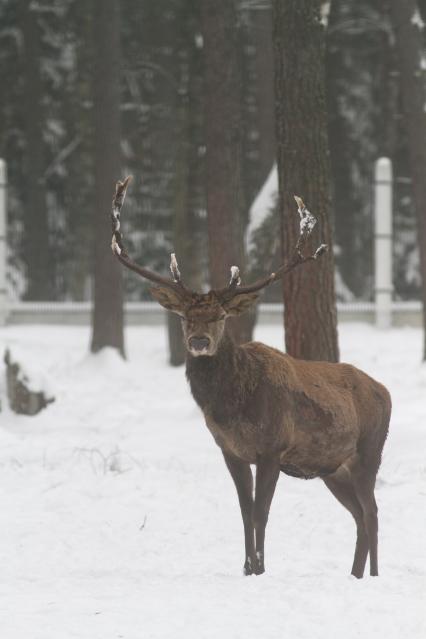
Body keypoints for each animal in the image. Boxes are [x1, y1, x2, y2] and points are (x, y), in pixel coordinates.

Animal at [110, 175, 392, 580]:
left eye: (220, 316)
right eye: (185, 317)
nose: (199, 341)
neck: (233, 407)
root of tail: (385, 391)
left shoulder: (273, 448)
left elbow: (261, 513)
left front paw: (260, 569)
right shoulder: (230, 451)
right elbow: (244, 513)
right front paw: (247, 569)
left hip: (370, 449)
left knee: (372, 512)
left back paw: (373, 576)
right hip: (333, 467)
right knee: (358, 516)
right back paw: (354, 574)